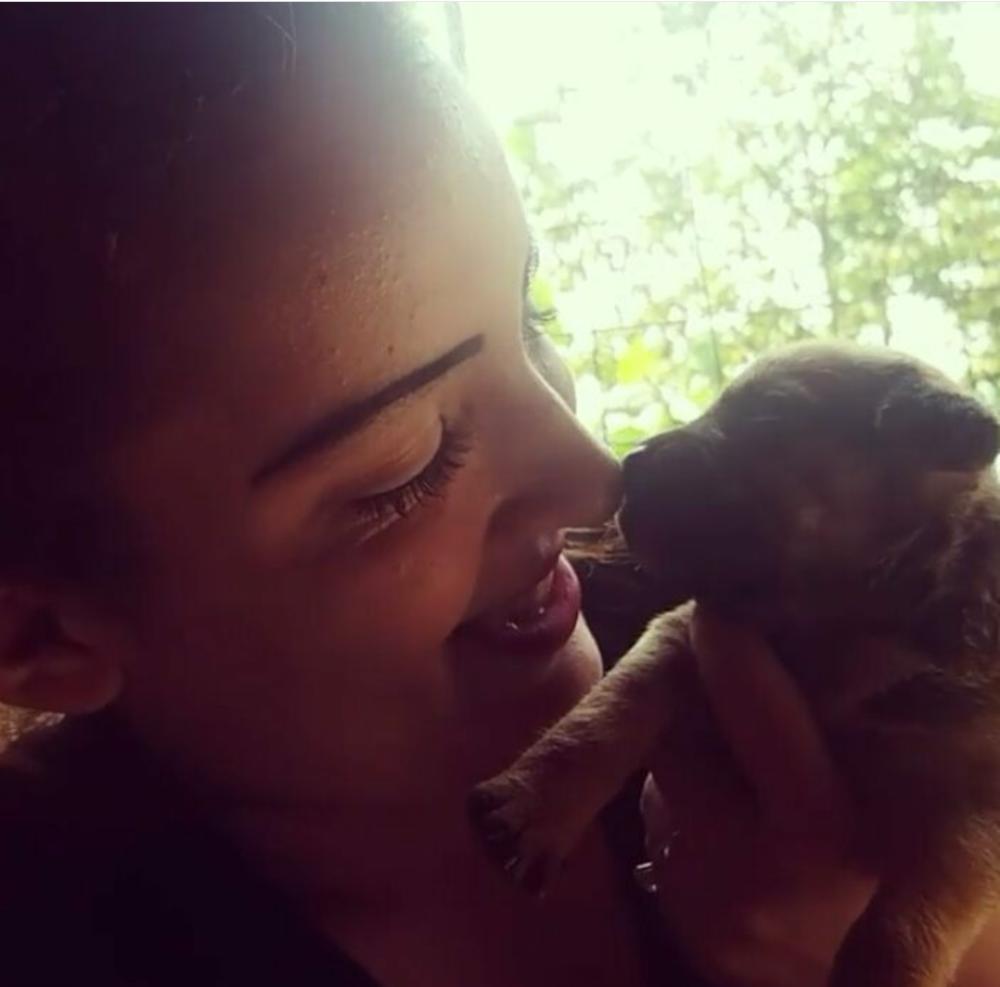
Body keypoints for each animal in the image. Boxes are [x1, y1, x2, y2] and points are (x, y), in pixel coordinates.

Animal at [470, 342, 1000, 987]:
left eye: (771, 417)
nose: (630, 462)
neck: (839, 635)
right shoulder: (681, 634)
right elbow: (604, 715)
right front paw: (533, 801)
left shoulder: (969, 812)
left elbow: (899, 930)